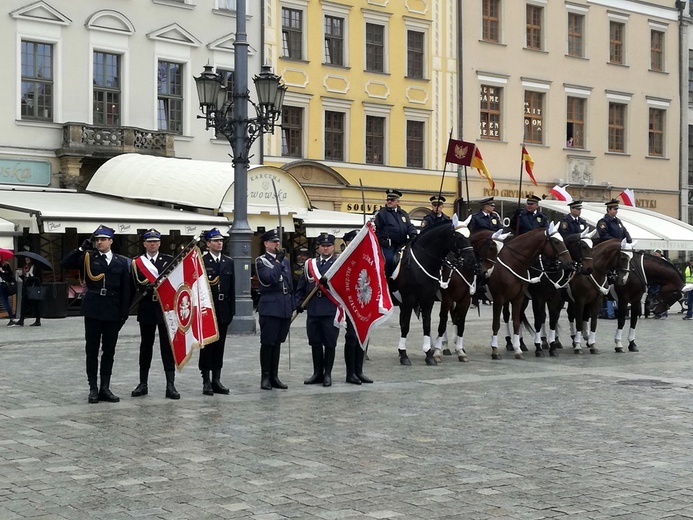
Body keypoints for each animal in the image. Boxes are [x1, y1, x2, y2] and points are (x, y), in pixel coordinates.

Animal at [484, 223, 572, 362]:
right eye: (557, 241)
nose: (570, 263)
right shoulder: (534, 299)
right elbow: (537, 320)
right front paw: (538, 348)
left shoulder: (553, 299)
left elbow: (551, 320)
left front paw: (551, 347)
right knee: (507, 316)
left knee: (519, 317)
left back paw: (522, 344)